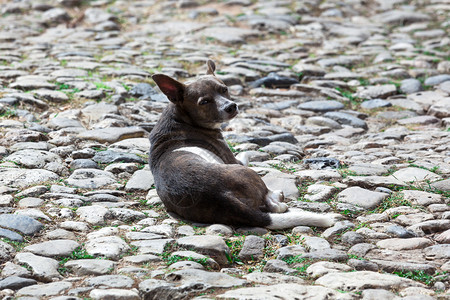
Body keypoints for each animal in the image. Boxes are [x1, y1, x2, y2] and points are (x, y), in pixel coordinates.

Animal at [149, 60, 336, 230]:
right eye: (204, 102)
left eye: (224, 89)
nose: (231, 106)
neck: (180, 118)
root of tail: (223, 197)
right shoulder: (233, 159)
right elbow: (244, 154)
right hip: (249, 174)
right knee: (272, 203)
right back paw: (278, 196)